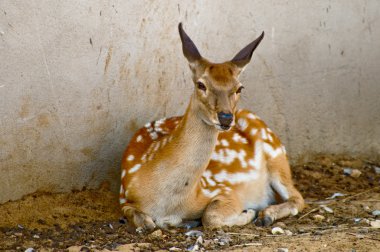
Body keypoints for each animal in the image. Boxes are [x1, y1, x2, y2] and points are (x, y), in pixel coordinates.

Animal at [120, 22, 304, 231]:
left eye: (239, 88)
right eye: (201, 84)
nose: (226, 117)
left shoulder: (223, 189)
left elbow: (210, 216)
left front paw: (247, 213)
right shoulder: (124, 198)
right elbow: (144, 222)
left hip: (277, 157)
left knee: (298, 197)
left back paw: (266, 215)